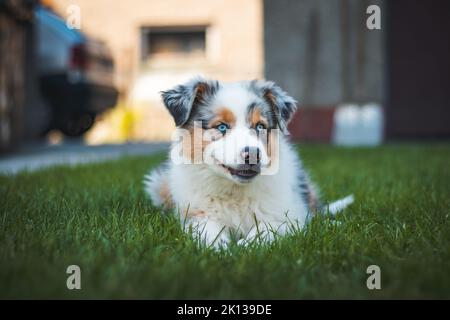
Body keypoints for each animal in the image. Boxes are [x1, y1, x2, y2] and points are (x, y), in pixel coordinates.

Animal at [146, 77, 354, 248]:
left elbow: (269, 228)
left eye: (260, 126)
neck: (235, 191)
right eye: (222, 127)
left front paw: (247, 247)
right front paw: (220, 249)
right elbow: (208, 230)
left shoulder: (285, 214)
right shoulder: (196, 214)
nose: (253, 154)